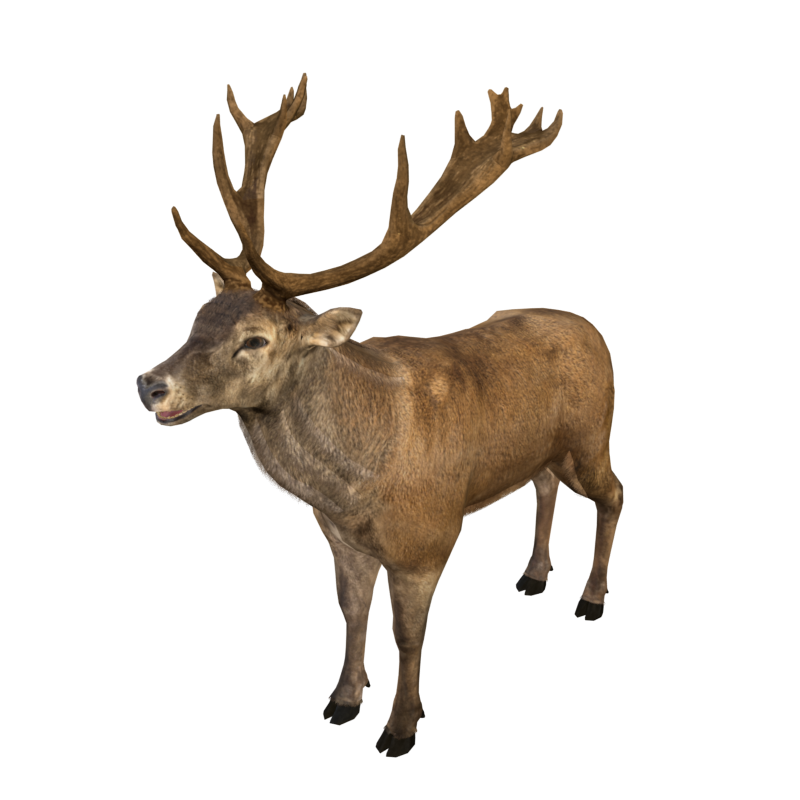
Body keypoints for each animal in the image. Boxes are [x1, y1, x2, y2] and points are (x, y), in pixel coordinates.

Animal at [135, 73, 623, 758]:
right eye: (195, 321)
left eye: (255, 340)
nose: (151, 384)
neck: (354, 486)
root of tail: (590, 328)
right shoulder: (339, 539)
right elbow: (351, 614)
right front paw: (342, 700)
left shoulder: (429, 537)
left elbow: (408, 635)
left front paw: (400, 727)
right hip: (547, 450)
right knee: (545, 485)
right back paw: (533, 575)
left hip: (592, 434)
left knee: (613, 492)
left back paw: (592, 597)